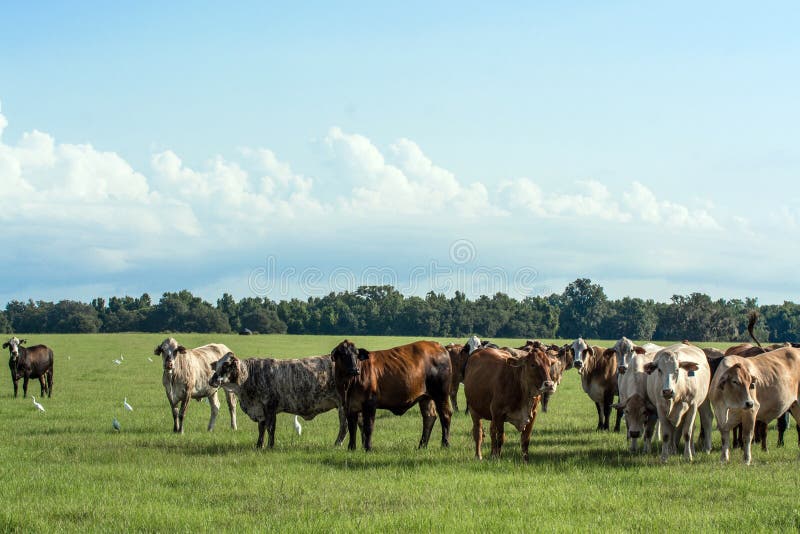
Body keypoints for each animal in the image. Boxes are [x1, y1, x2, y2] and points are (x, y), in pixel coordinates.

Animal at [208, 351, 348, 448]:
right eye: (217, 365)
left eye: (226, 365)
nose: (211, 380)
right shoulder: (260, 409)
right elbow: (261, 428)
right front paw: (259, 445)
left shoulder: (270, 406)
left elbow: (270, 428)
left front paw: (270, 446)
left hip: (343, 406)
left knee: (344, 426)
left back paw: (337, 444)